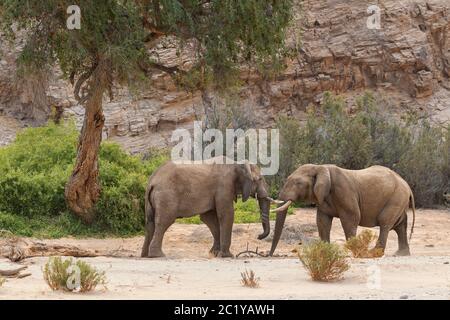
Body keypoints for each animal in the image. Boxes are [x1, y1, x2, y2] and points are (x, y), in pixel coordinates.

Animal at [268, 165, 416, 258]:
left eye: (298, 183)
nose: (269, 255)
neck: (321, 167)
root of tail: (407, 185)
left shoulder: (343, 190)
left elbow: (351, 218)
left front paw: (356, 253)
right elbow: (322, 221)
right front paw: (325, 251)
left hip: (396, 197)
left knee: (385, 223)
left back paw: (372, 254)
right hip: (399, 199)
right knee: (400, 225)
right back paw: (400, 254)